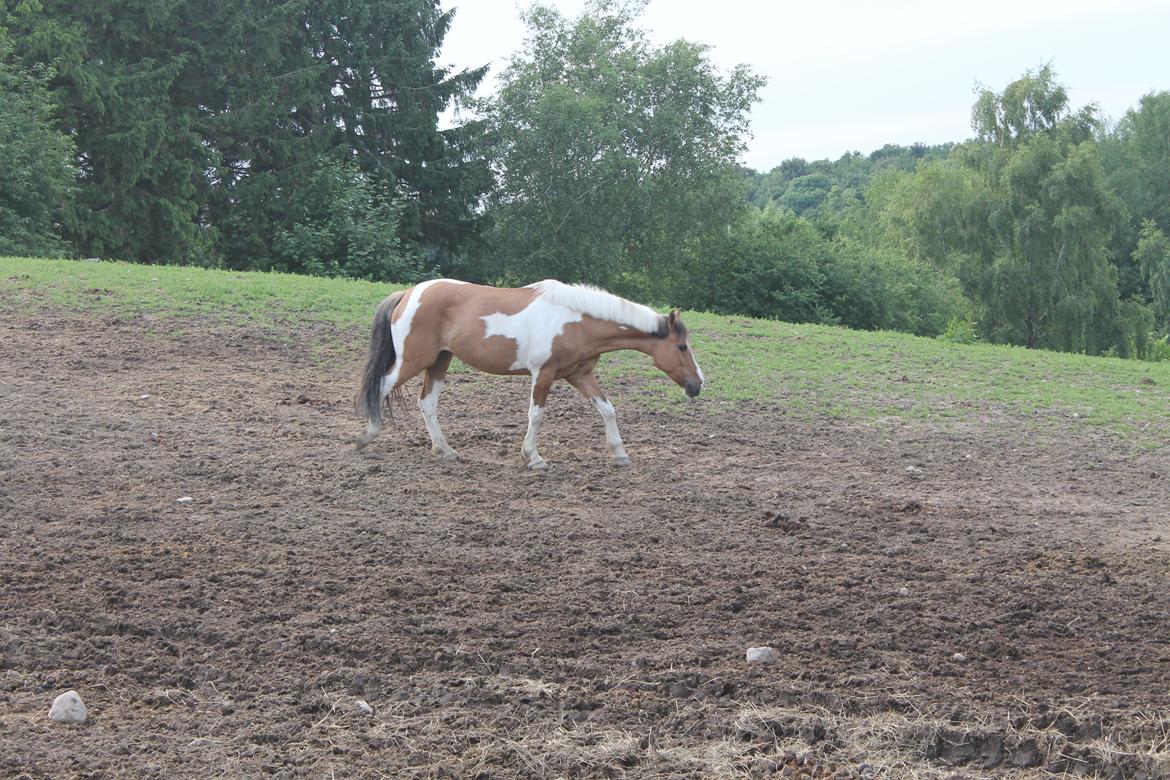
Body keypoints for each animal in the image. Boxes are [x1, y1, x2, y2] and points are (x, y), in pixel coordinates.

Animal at [355, 277, 702, 467]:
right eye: (682, 346)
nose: (697, 385)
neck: (575, 320)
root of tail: (407, 294)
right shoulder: (543, 373)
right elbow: (536, 415)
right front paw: (533, 457)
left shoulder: (579, 375)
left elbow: (607, 409)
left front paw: (619, 454)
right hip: (413, 361)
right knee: (381, 387)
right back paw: (366, 438)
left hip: (440, 361)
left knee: (426, 403)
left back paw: (446, 450)